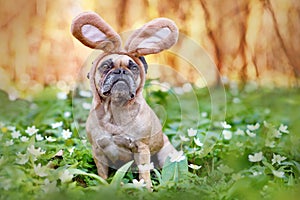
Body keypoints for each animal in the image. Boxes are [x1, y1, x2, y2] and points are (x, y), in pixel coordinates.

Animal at [71, 11, 178, 188]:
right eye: (105, 66)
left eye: (133, 67)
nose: (121, 71)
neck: (115, 110)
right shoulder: (98, 151)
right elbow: (102, 172)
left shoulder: (141, 148)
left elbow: (144, 172)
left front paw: (146, 187)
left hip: (166, 155)